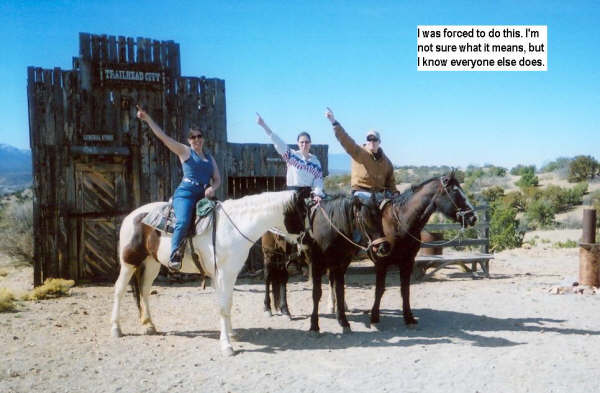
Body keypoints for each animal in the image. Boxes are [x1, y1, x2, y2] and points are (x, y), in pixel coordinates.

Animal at [111, 190, 310, 356]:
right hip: (129, 263)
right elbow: (223, 307)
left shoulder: (230, 274)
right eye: (302, 213)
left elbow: (228, 304)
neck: (234, 227)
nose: (307, 240)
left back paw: (149, 325)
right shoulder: (223, 275)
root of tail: (131, 216)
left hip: (151, 263)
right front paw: (227, 345)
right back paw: (116, 329)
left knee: (144, 290)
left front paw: (231, 333)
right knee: (119, 290)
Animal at [370, 172, 478, 324]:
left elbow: (405, 290)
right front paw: (374, 317)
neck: (399, 224)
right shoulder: (381, 263)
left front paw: (409, 317)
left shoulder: (408, 262)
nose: (473, 217)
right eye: (455, 191)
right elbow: (379, 290)